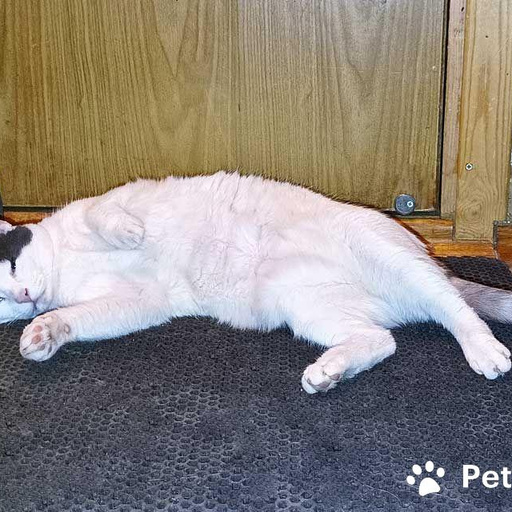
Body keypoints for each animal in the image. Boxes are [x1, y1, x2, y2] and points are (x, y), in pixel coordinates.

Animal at [0, 171, 510, 394]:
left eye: (10, 270)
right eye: (3, 301)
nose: (24, 296)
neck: (67, 267)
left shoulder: (116, 199)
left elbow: (105, 214)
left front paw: (129, 233)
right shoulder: (139, 302)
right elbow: (74, 318)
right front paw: (43, 333)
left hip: (388, 258)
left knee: (454, 306)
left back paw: (484, 351)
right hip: (308, 307)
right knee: (382, 340)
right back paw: (330, 372)